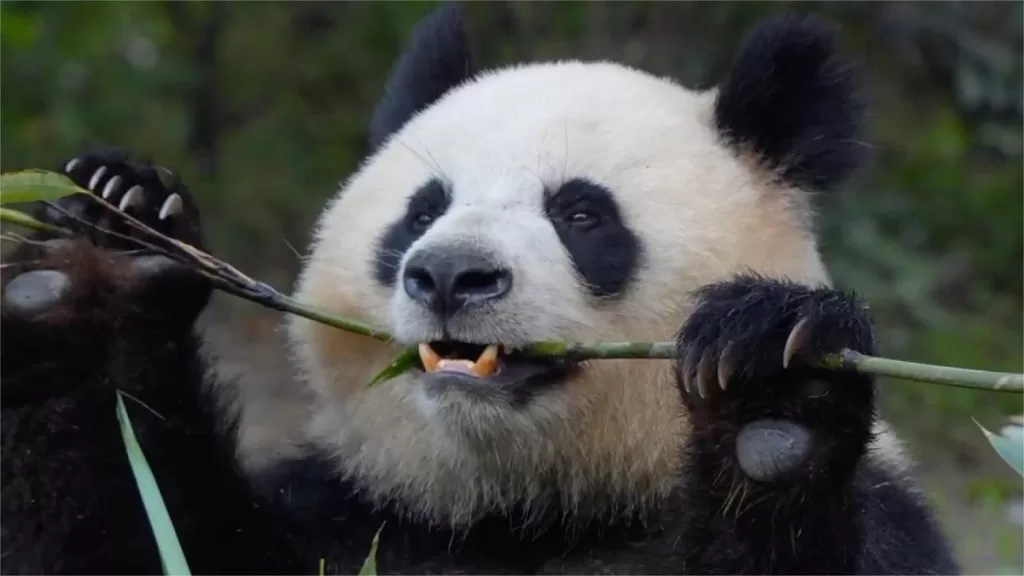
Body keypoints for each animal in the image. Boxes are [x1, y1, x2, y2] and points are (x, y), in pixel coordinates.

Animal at [1, 5, 961, 575]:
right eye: (422, 210)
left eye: (581, 214)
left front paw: (773, 391)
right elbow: (143, 534)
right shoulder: (357, 519)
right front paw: (110, 246)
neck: (530, 513)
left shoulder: (888, 520)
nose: (451, 274)